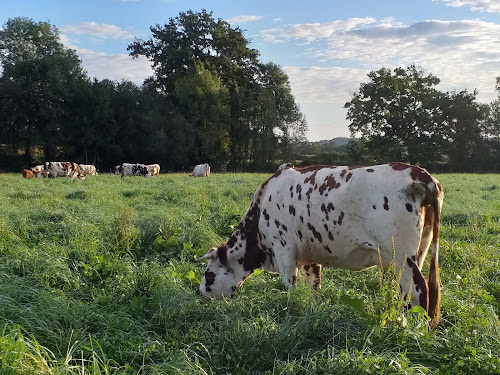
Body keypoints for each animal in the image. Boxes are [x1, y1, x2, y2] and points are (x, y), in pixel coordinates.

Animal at [199, 163, 446, 328]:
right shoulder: (310, 256)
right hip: (419, 252)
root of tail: (419, 173)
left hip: (401, 256)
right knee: (406, 293)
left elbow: (290, 288)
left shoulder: (284, 250)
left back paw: (416, 329)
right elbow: (314, 287)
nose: (200, 293)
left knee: (420, 291)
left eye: (208, 275)